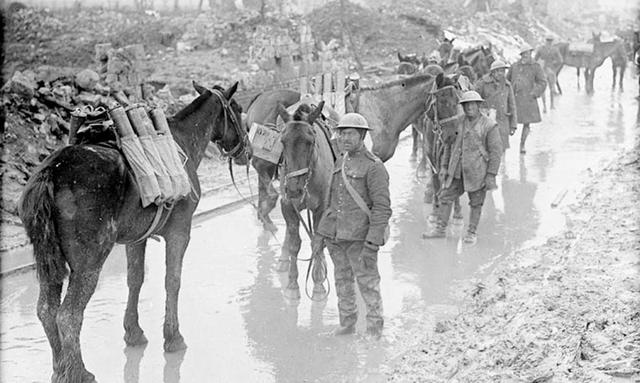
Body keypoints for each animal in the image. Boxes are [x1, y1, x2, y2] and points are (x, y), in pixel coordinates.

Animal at [17, 82, 248, 383]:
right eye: (239, 110)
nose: (247, 150)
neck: (184, 139)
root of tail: (50, 173)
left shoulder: (135, 239)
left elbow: (135, 279)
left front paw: (133, 332)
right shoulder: (180, 231)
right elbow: (172, 280)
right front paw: (173, 337)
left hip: (49, 262)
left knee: (46, 310)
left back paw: (60, 369)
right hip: (89, 263)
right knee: (68, 315)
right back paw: (79, 372)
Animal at [278, 102, 332, 300]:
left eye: (310, 142)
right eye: (283, 141)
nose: (294, 189)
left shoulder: (321, 209)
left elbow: (317, 242)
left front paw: (318, 283)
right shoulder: (287, 205)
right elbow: (295, 244)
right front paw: (292, 284)